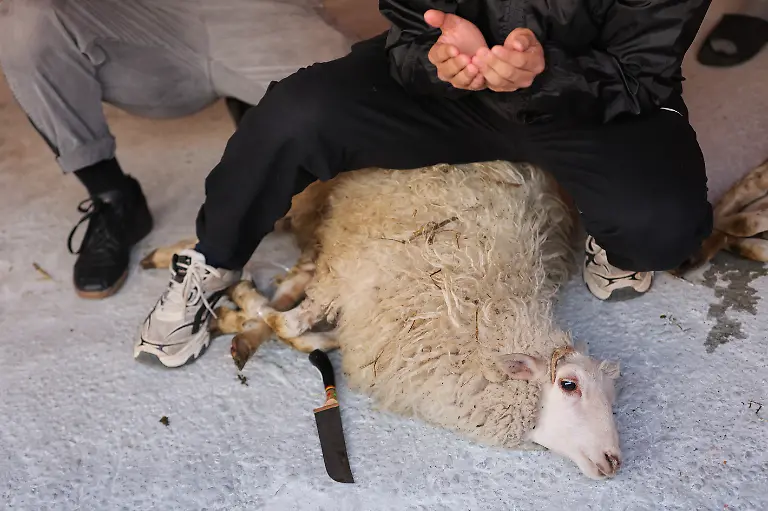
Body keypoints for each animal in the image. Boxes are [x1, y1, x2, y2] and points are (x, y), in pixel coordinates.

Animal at [142, 160, 624, 480]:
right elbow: (289, 324)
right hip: (309, 198)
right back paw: (169, 260)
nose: (615, 460)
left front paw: (240, 319)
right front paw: (242, 305)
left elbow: (300, 324)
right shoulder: (349, 272)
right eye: (569, 385)